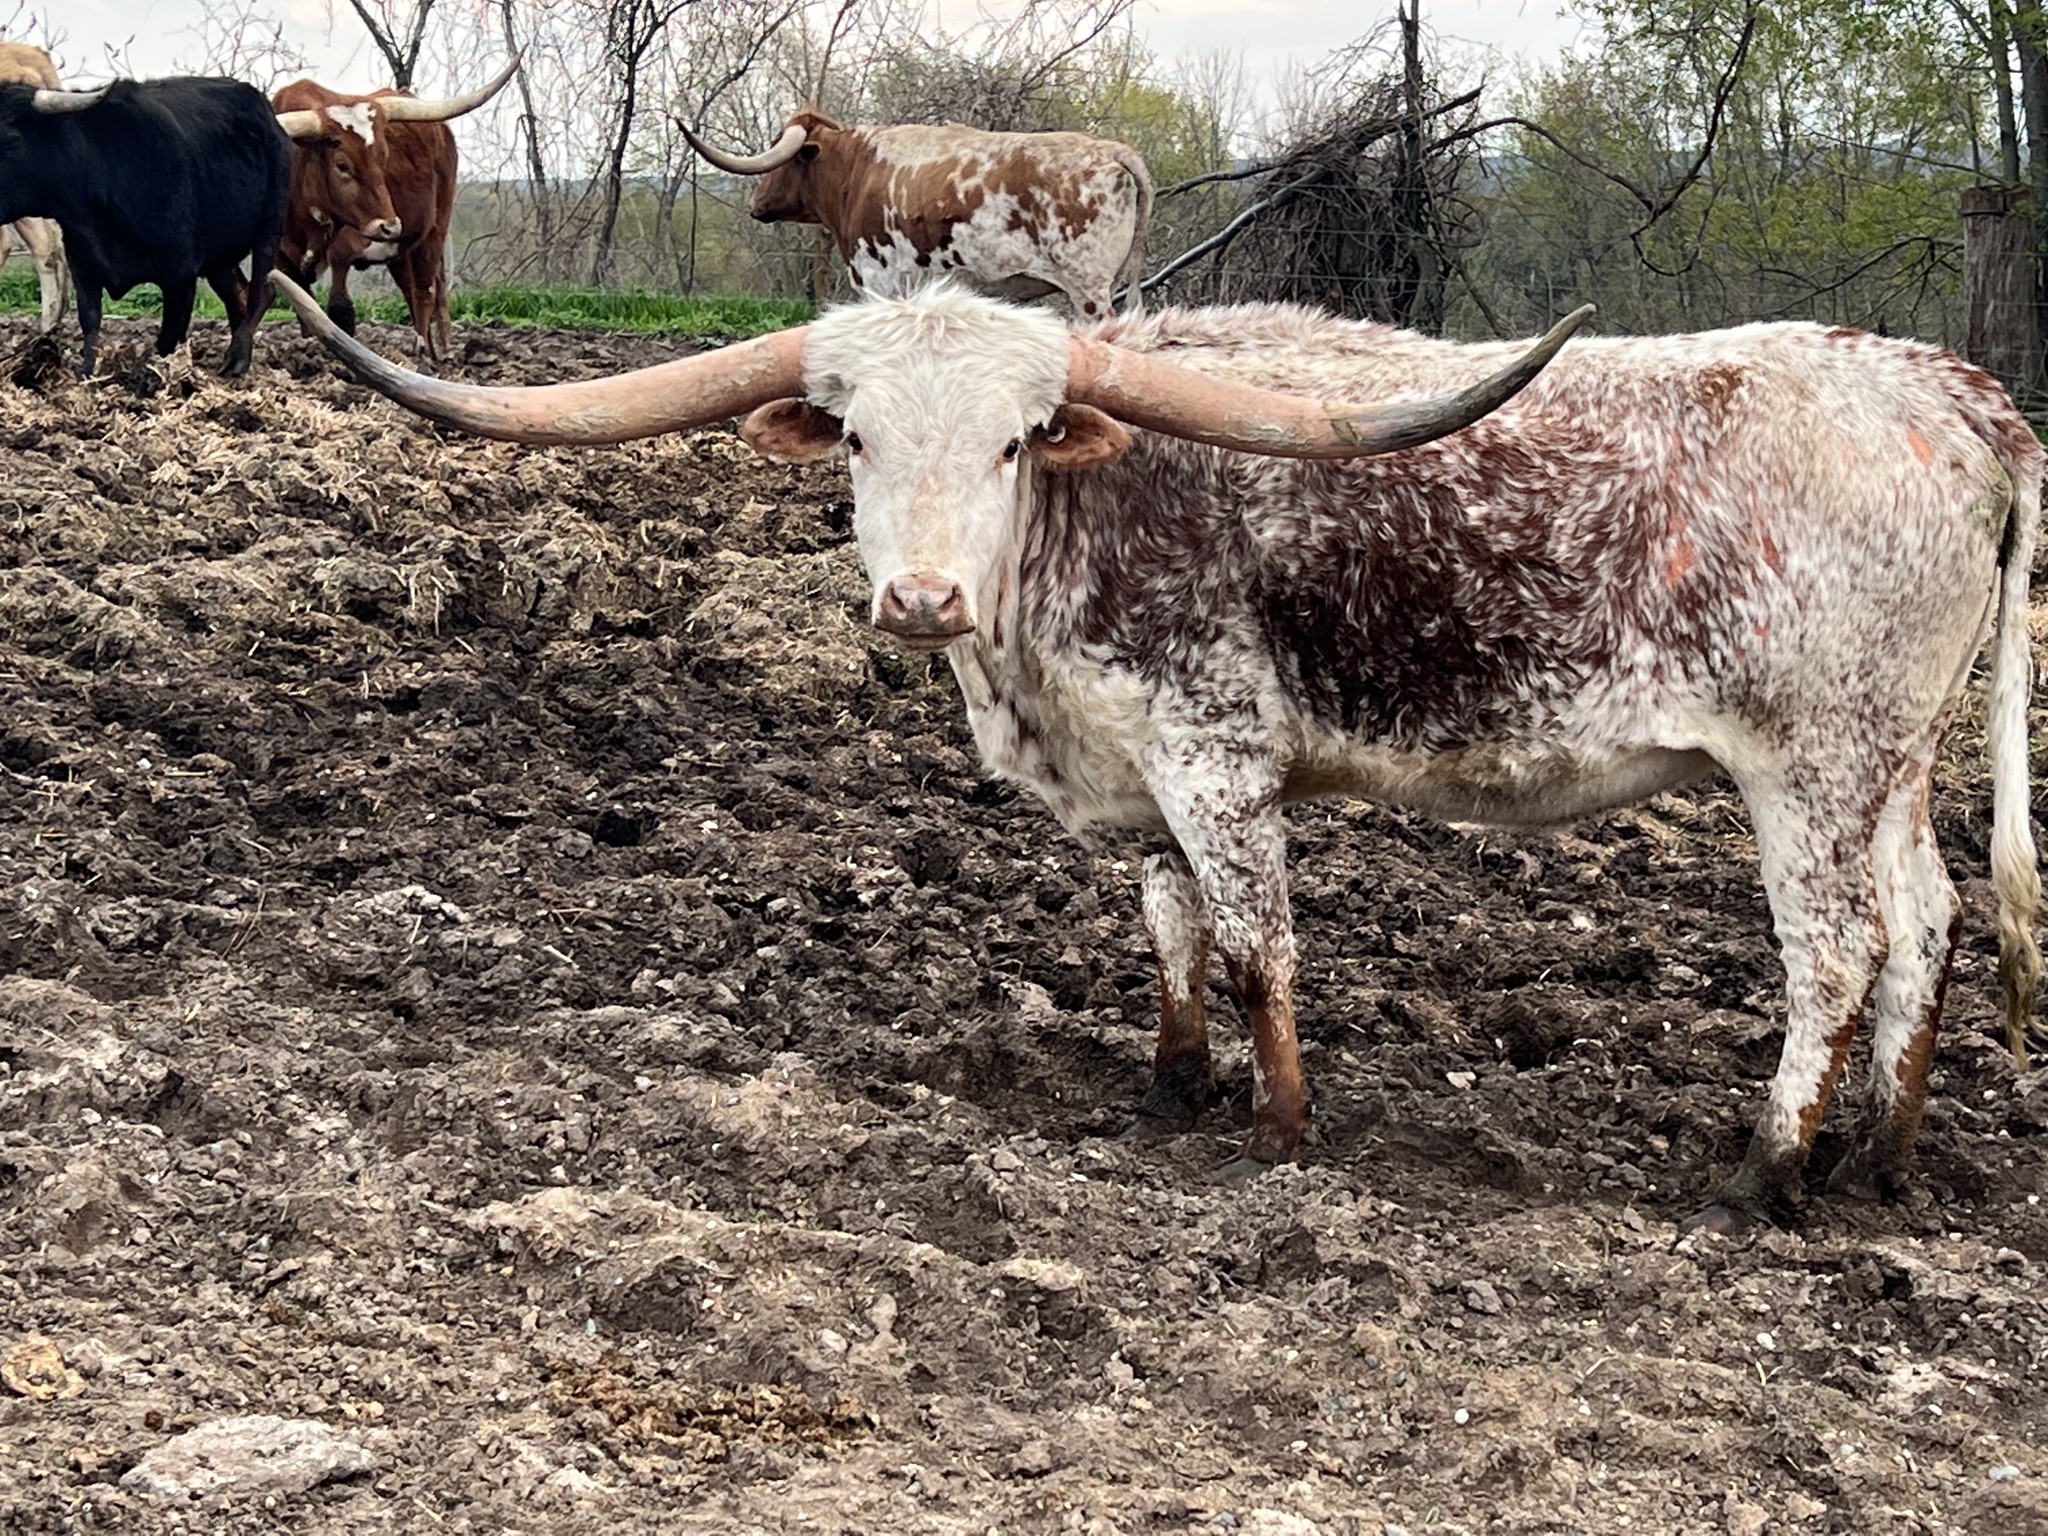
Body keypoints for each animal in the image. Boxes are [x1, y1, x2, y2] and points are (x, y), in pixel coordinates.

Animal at [0, 74, 290, 377]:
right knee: (237, 296)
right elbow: (90, 327)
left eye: (11, 138)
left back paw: (238, 361)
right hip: (219, 257)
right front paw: (88, 375)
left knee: (262, 291)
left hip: (270, 227)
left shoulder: (180, 277)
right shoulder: (84, 270)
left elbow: (168, 341)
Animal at [272, 61, 517, 359]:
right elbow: (303, 304)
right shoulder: (283, 258)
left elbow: (340, 307)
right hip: (400, 251)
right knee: (411, 289)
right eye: (342, 165)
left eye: (383, 159)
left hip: (434, 230)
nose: (390, 226)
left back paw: (422, 347)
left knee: (425, 290)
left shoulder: (347, 245)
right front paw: (305, 345)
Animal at [275, 274, 2042, 1232]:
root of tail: (1956, 394)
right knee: (1930, 928)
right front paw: (1175, 1083)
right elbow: (1172, 926)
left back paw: (1769, 1168)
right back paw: (1883, 1154)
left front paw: (1277, 1130)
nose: (920, 598)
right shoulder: (1138, 782)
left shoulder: (1216, 757)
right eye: (856, 436)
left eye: (1011, 440)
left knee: (1837, 951)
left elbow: (1256, 940)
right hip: (1891, 765)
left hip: (1810, 765)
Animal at [682, 110, 1152, 320]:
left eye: (779, 151)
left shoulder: (878, 282)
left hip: (1089, 292)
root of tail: (1111, 149)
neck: (857, 170)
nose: (755, 205)